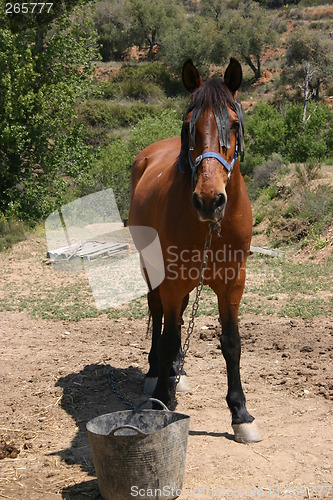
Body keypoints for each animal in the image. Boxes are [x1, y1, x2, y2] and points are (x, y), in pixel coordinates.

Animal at [129, 59, 262, 446]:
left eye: (234, 124)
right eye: (189, 125)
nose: (208, 199)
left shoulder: (233, 282)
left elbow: (231, 342)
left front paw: (241, 414)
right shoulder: (171, 279)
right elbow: (170, 337)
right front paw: (161, 398)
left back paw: (177, 372)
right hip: (152, 270)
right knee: (159, 315)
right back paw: (156, 373)